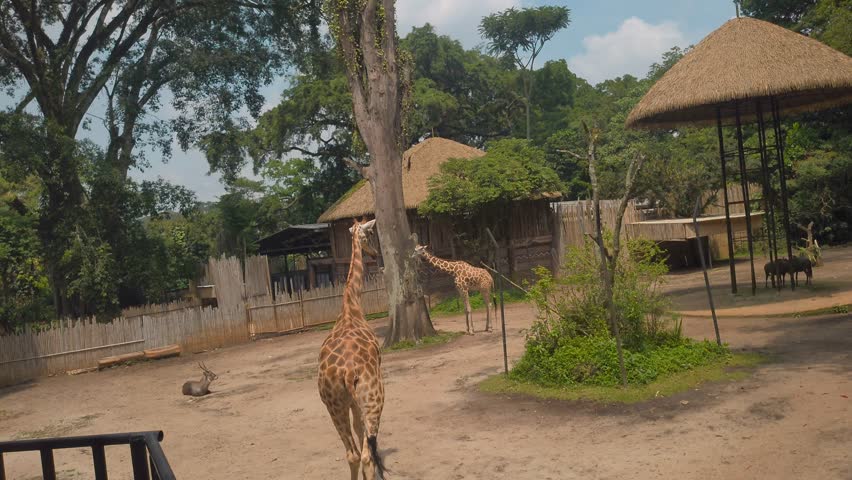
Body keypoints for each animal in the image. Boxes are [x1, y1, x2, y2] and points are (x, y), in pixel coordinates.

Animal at [317, 218, 388, 480]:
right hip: (374, 397)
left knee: (352, 454)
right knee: (366, 453)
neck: (351, 306)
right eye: (371, 234)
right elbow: (363, 433)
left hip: (332, 404)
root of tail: (347, 372)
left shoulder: (348, 401)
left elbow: (358, 433)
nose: (375, 254)